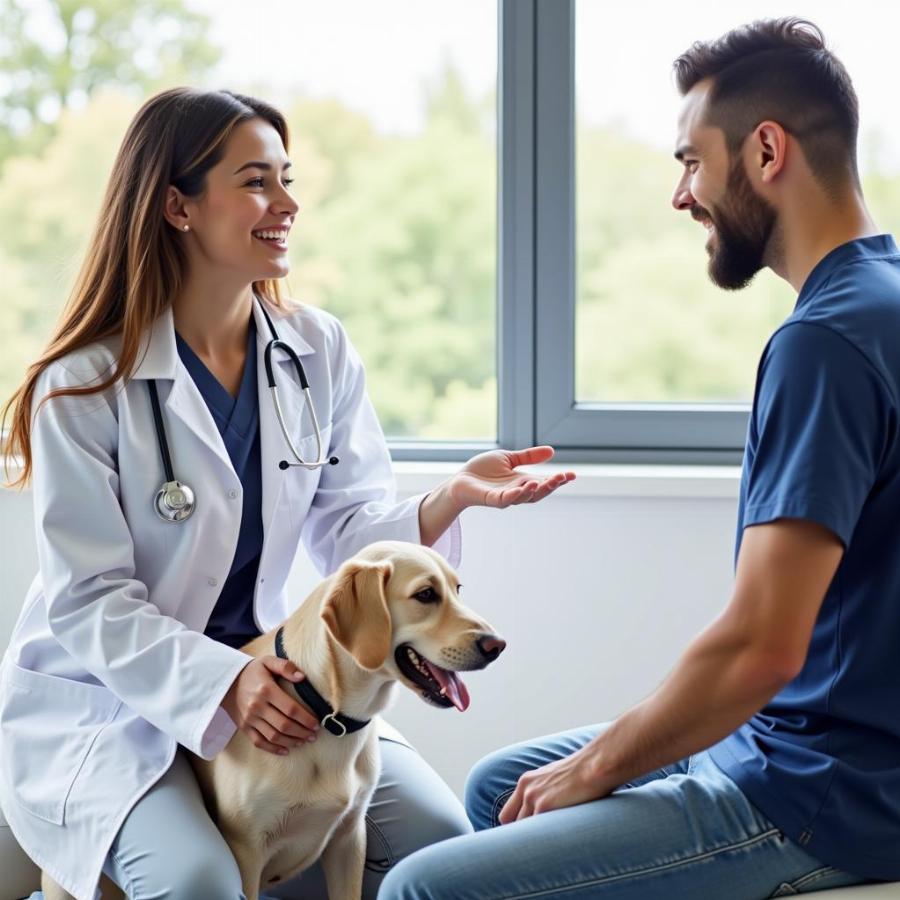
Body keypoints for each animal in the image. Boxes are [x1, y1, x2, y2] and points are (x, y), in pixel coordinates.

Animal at [45, 540, 506, 900]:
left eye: (457, 589)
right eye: (426, 595)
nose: (497, 645)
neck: (327, 714)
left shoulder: (349, 841)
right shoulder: (246, 851)